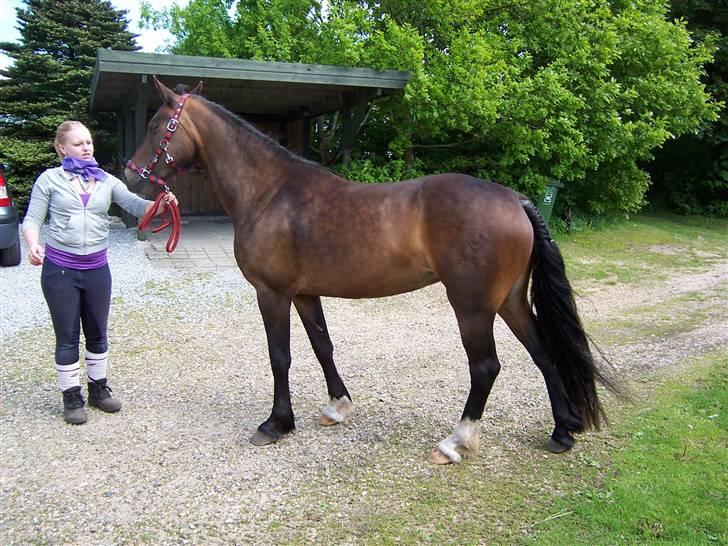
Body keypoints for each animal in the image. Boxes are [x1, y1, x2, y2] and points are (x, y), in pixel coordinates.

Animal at [125, 74, 616, 462]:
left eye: (155, 125)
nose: (130, 175)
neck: (270, 192)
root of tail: (515, 199)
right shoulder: (305, 293)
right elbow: (323, 347)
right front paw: (336, 407)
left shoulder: (272, 293)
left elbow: (279, 357)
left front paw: (276, 424)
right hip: (511, 300)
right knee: (544, 354)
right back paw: (562, 430)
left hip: (473, 307)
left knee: (485, 367)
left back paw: (455, 443)